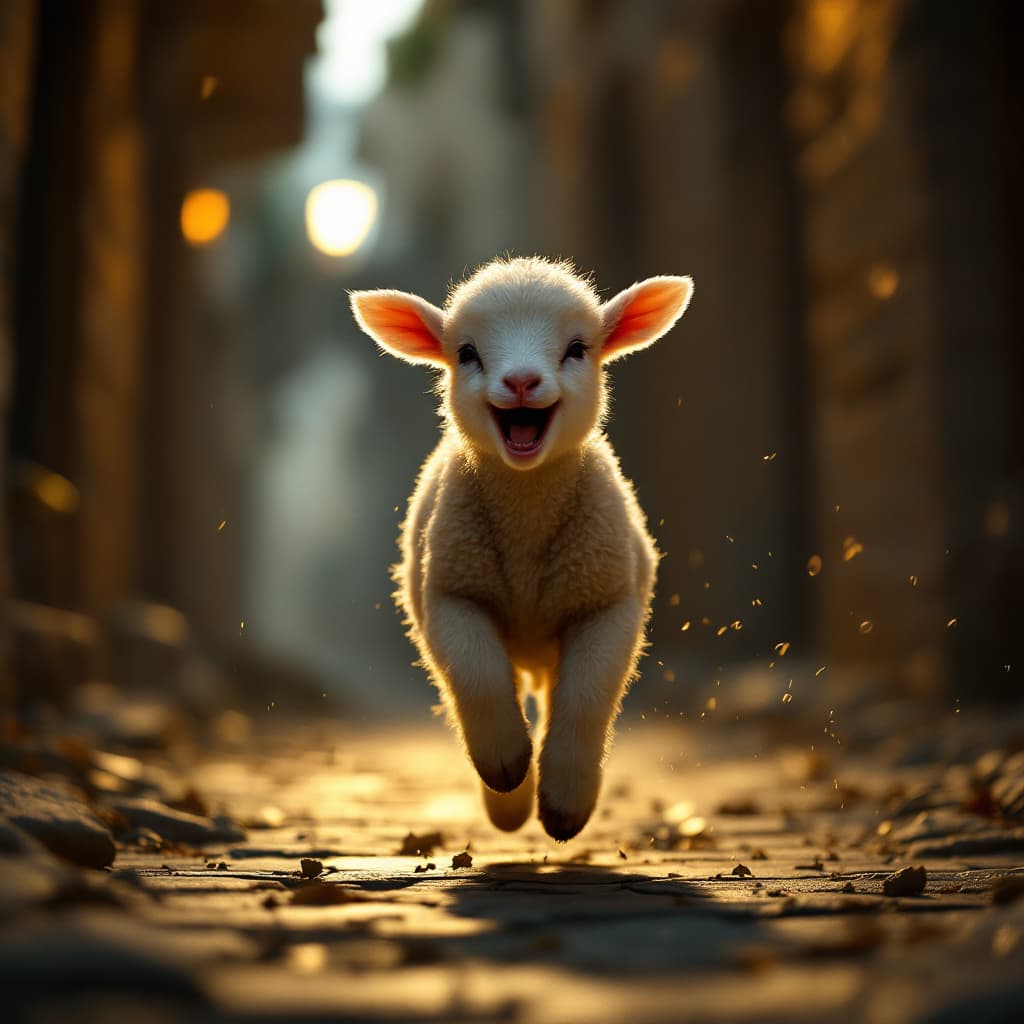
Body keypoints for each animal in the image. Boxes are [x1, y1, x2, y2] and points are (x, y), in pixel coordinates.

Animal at [350, 256, 693, 840]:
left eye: (577, 347)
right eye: (466, 352)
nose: (521, 381)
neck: (526, 513)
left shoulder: (605, 603)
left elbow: (586, 699)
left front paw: (565, 806)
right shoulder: (452, 593)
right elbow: (477, 677)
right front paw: (507, 775)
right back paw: (506, 807)